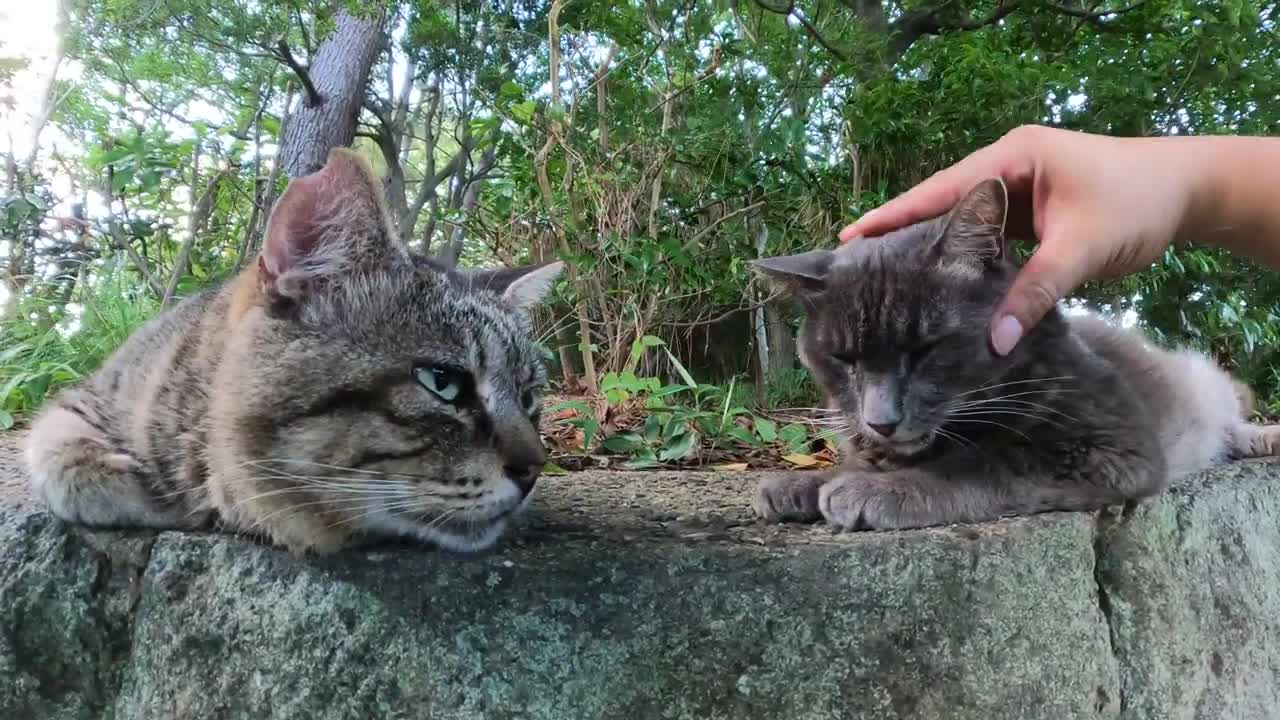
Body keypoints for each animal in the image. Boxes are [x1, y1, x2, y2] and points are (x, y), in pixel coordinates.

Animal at [752, 176, 1274, 530]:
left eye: (926, 349)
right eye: (843, 360)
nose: (881, 421)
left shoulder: (1111, 444)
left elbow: (988, 463)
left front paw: (875, 489)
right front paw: (803, 483)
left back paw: (1265, 438)